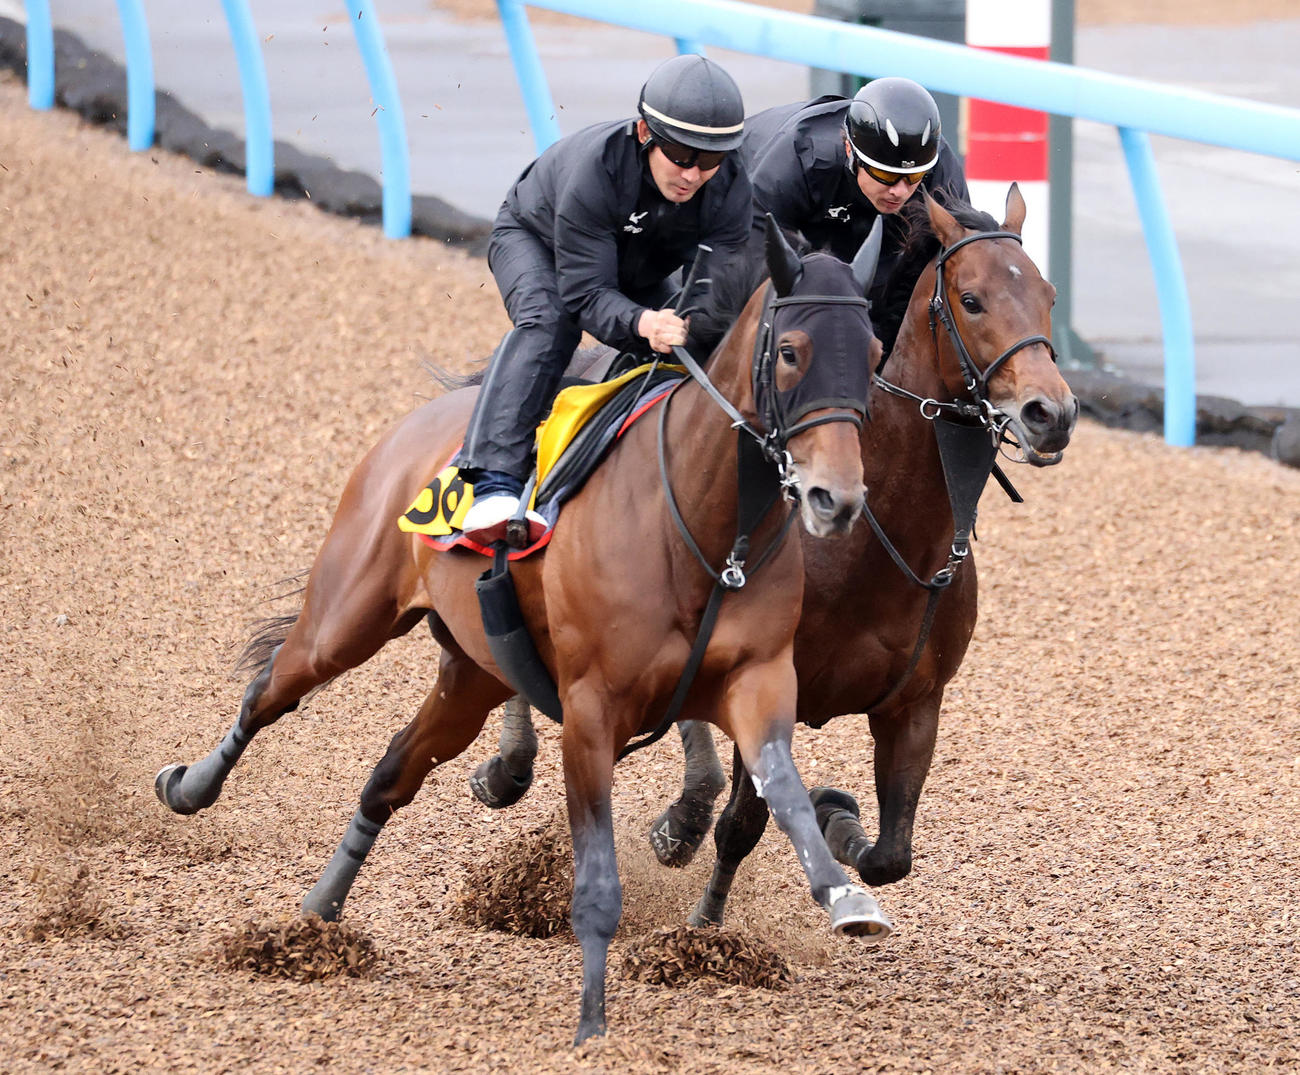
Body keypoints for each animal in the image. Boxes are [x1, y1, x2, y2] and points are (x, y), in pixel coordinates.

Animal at [154, 219, 890, 1044]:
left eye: (872, 354)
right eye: (790, 350)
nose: (835, 498)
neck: (706, 526)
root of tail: (428, 419)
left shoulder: (757, 680)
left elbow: (784, 788)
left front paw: (846, 896)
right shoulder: (591, 712)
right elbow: (597, 877)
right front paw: (592, 1020)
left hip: (471, 676)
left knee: (388, 774)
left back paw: (315, 918)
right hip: (347, 617)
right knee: (270, 689)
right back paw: (189, 786)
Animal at [470, 185, 1079, 929]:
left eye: (1048, 294)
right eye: (972, 299)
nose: (1052, 413)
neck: (879, 541)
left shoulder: (916, 705)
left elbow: (891, 853)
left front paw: (836, 814)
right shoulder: (765, 684)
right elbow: (745, 824)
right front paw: (704, 927)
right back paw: (521, 767)